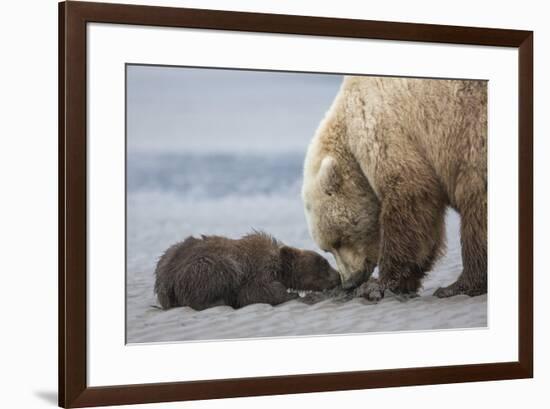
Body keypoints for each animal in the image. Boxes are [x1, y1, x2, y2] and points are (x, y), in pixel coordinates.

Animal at [155, 233, 342, 310]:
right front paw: (292, 294)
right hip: (203, 268)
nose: (338, 276)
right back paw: (219, 302)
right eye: (324, 263)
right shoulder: (256, 270)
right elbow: (256, 292)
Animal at [304, 75, 490, 300]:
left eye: (339, 240)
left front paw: (379, 284)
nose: (349, 282)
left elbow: (410, 199)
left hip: (472, 134)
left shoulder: (385, 128)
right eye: (327, 249)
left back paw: (458, 286)